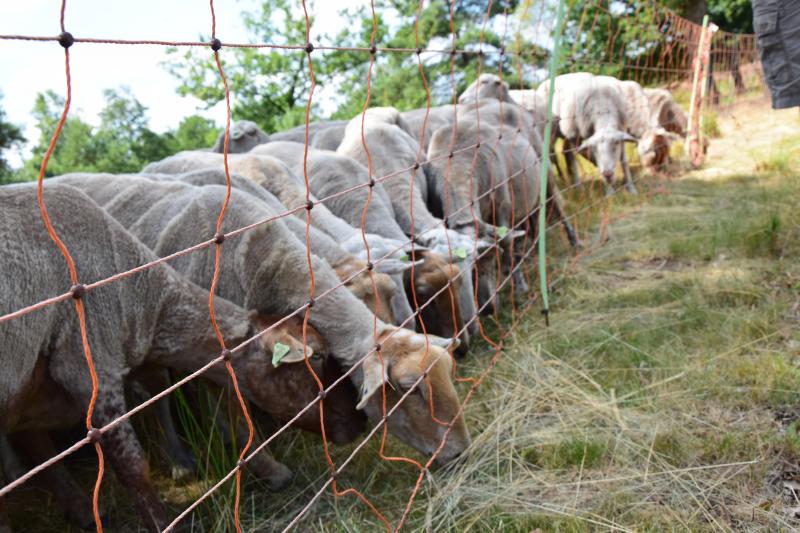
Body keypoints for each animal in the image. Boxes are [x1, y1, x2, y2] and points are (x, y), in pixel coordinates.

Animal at [0, 182, 360, 528]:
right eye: (317, 356)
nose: (361, 420)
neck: (151, 299)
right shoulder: (90, 366)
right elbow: (134, 466)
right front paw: (162, 521)